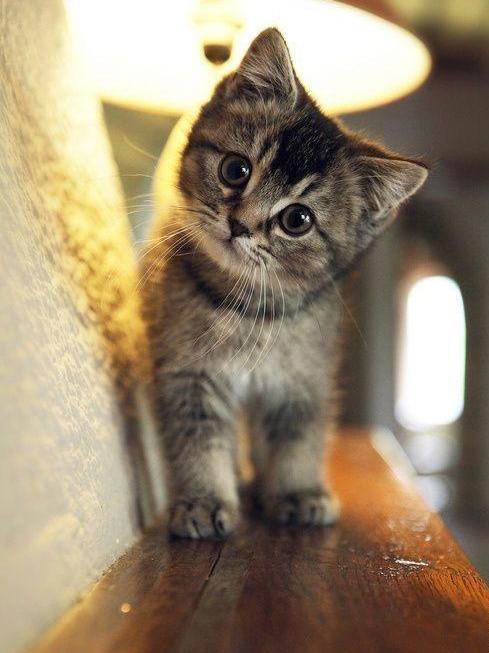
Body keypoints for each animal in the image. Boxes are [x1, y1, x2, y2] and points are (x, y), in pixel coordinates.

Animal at [141, 28, 427, 539]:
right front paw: (203, 500)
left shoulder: (303, 379)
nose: (239, 225)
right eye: (235, 169)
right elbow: (197, 440)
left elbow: (298, 439)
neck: (247, 310)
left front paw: (297, 492)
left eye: (297, 219)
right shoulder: (185, 370)